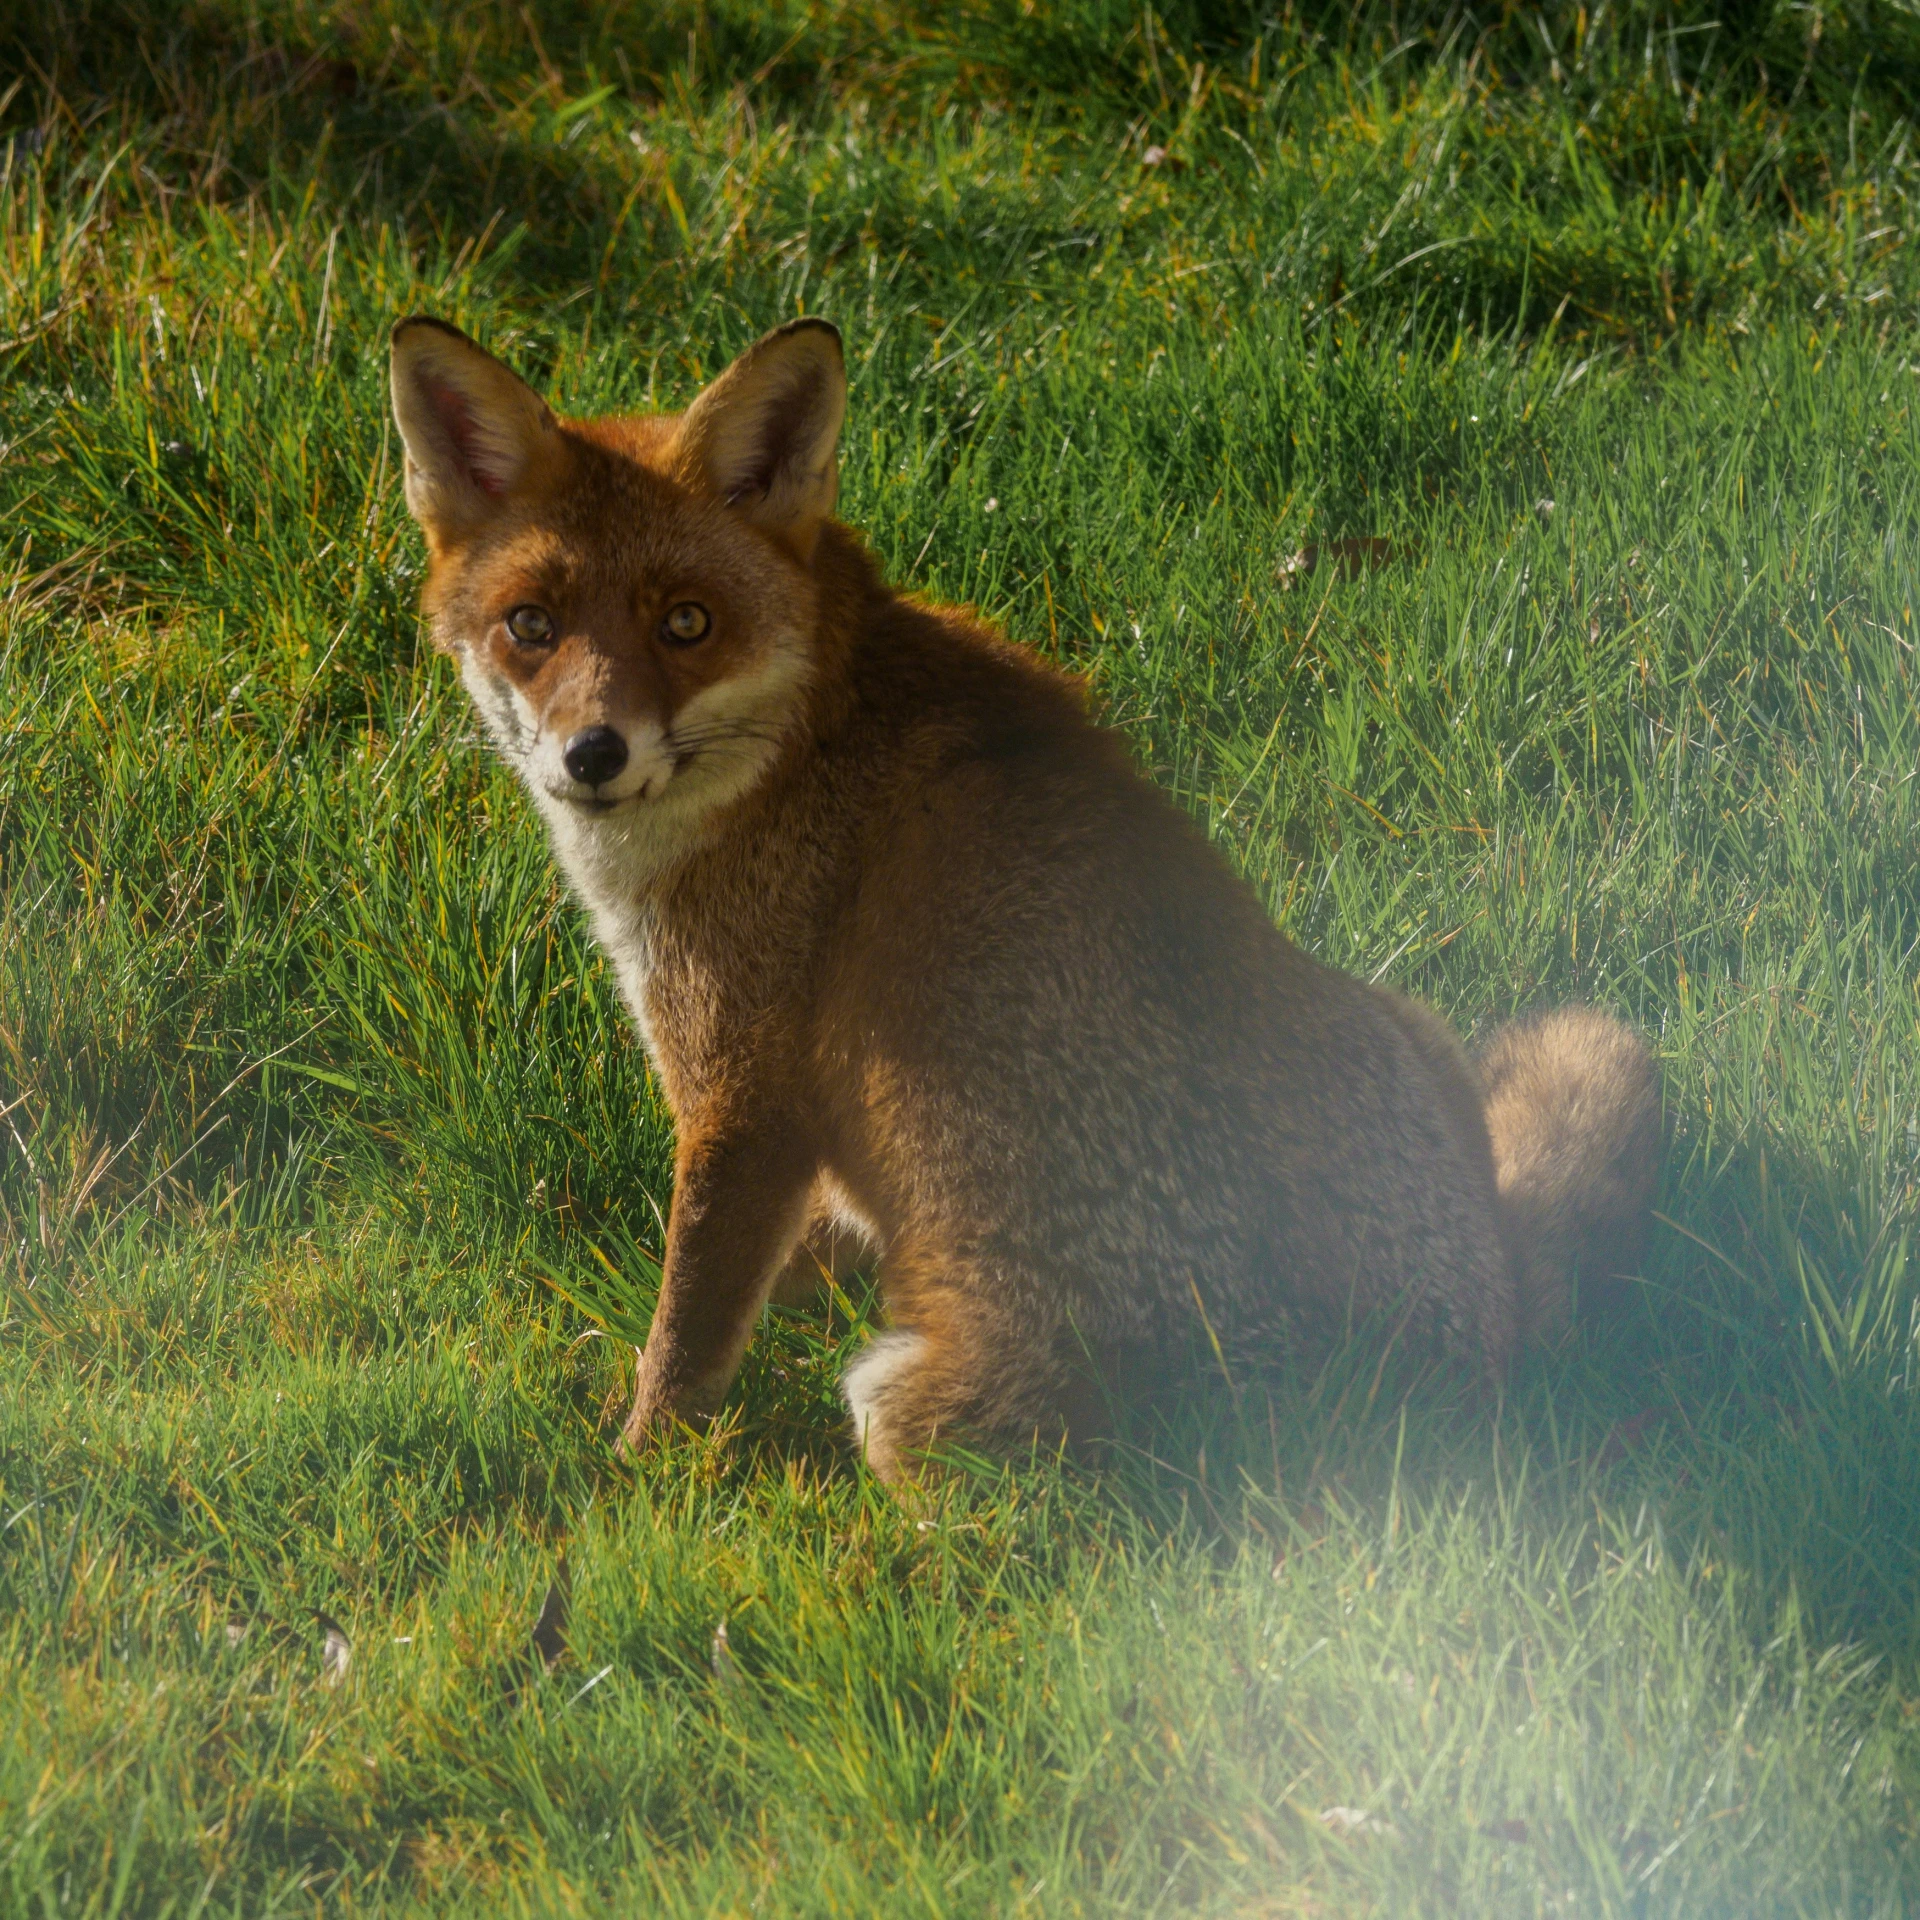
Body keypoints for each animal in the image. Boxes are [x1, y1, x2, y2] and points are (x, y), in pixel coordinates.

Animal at [382, 314, 1658, 1482]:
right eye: (532, 627)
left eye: (685, 623)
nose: (592, 754)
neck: (803, 744)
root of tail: (1452, 1395)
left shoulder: (741, 1094)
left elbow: (686, 1333)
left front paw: (635, 1470)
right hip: (1403, 1020)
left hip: (904, 1405)